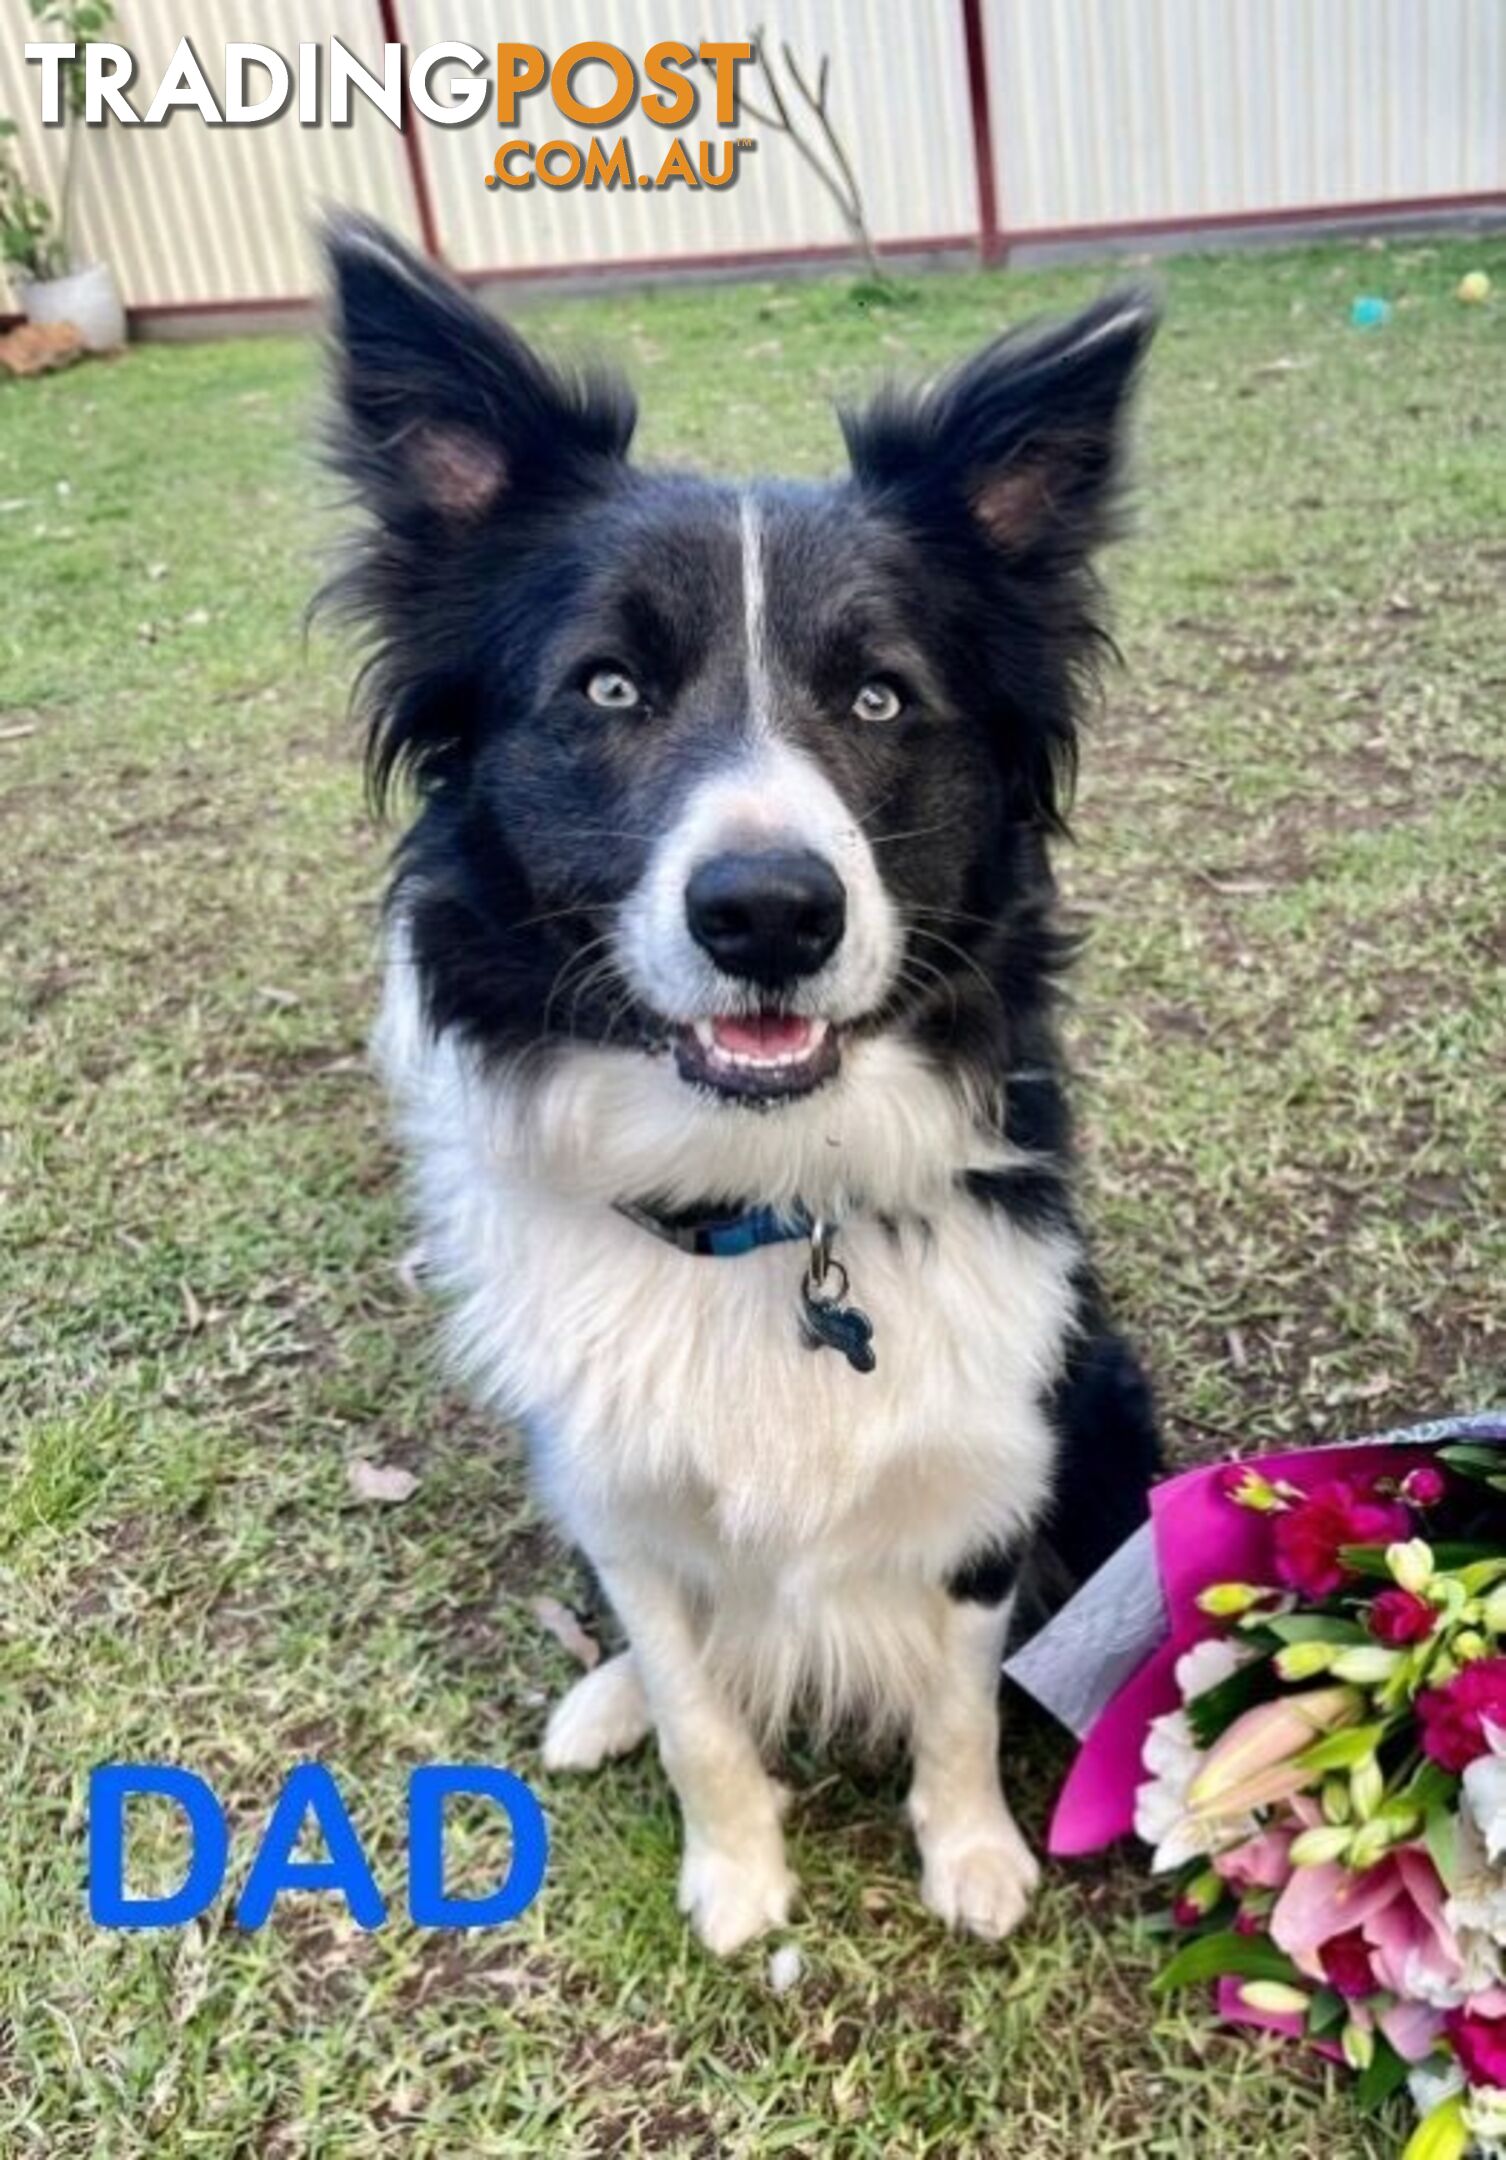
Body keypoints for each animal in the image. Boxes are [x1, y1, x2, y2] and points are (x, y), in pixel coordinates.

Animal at [324, 219, 1158, 1961]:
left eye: (879, 698)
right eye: (608, 690)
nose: (769, 912)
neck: (764, 1207)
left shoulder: (987, 1465)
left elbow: (960, 1700)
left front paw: (972, 1859)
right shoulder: (619, 1496)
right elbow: (704, 1715)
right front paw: (735, 1878)